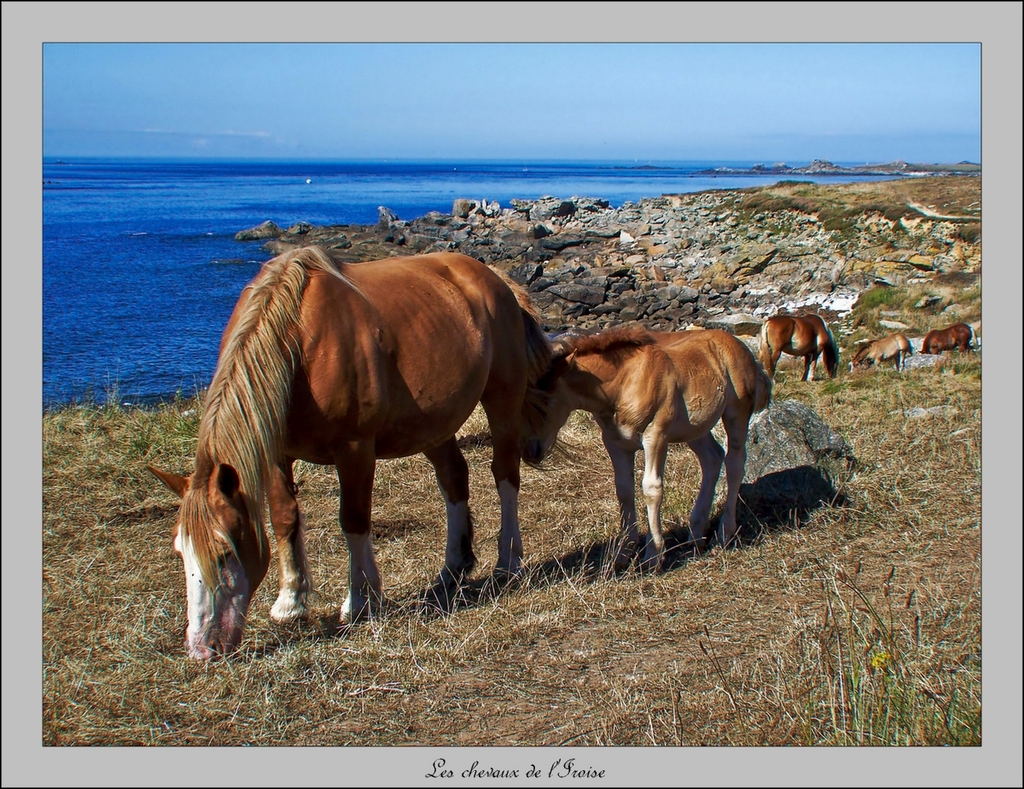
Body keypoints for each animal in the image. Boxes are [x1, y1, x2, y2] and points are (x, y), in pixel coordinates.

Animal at [146, 246, 552, 659]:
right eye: (181, 553)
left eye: (225, 553)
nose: (203, 648)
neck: (300, 345)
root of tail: (494, 279)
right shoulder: (276, 454)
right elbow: (283, 518)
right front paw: (290, 601)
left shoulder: (354, 449)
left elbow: (354, 520)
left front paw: (359, 600)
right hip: (433, 424)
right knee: (454, 478)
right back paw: (452, 569)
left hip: (502, 399)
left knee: (505, 474)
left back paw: (508, 561)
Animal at [524, 327, 770, 568]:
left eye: (545, 401)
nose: (530, 452)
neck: (623, 384)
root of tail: (742, 347)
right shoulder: (615, 442)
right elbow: (624, 490)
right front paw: (623, 552)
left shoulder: (656, 436)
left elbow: (652, 489)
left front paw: (653, 555)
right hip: (695, 428)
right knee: (712, 458)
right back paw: (696, 534)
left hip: (737, 413)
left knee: (735, 463)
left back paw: (724, 533)